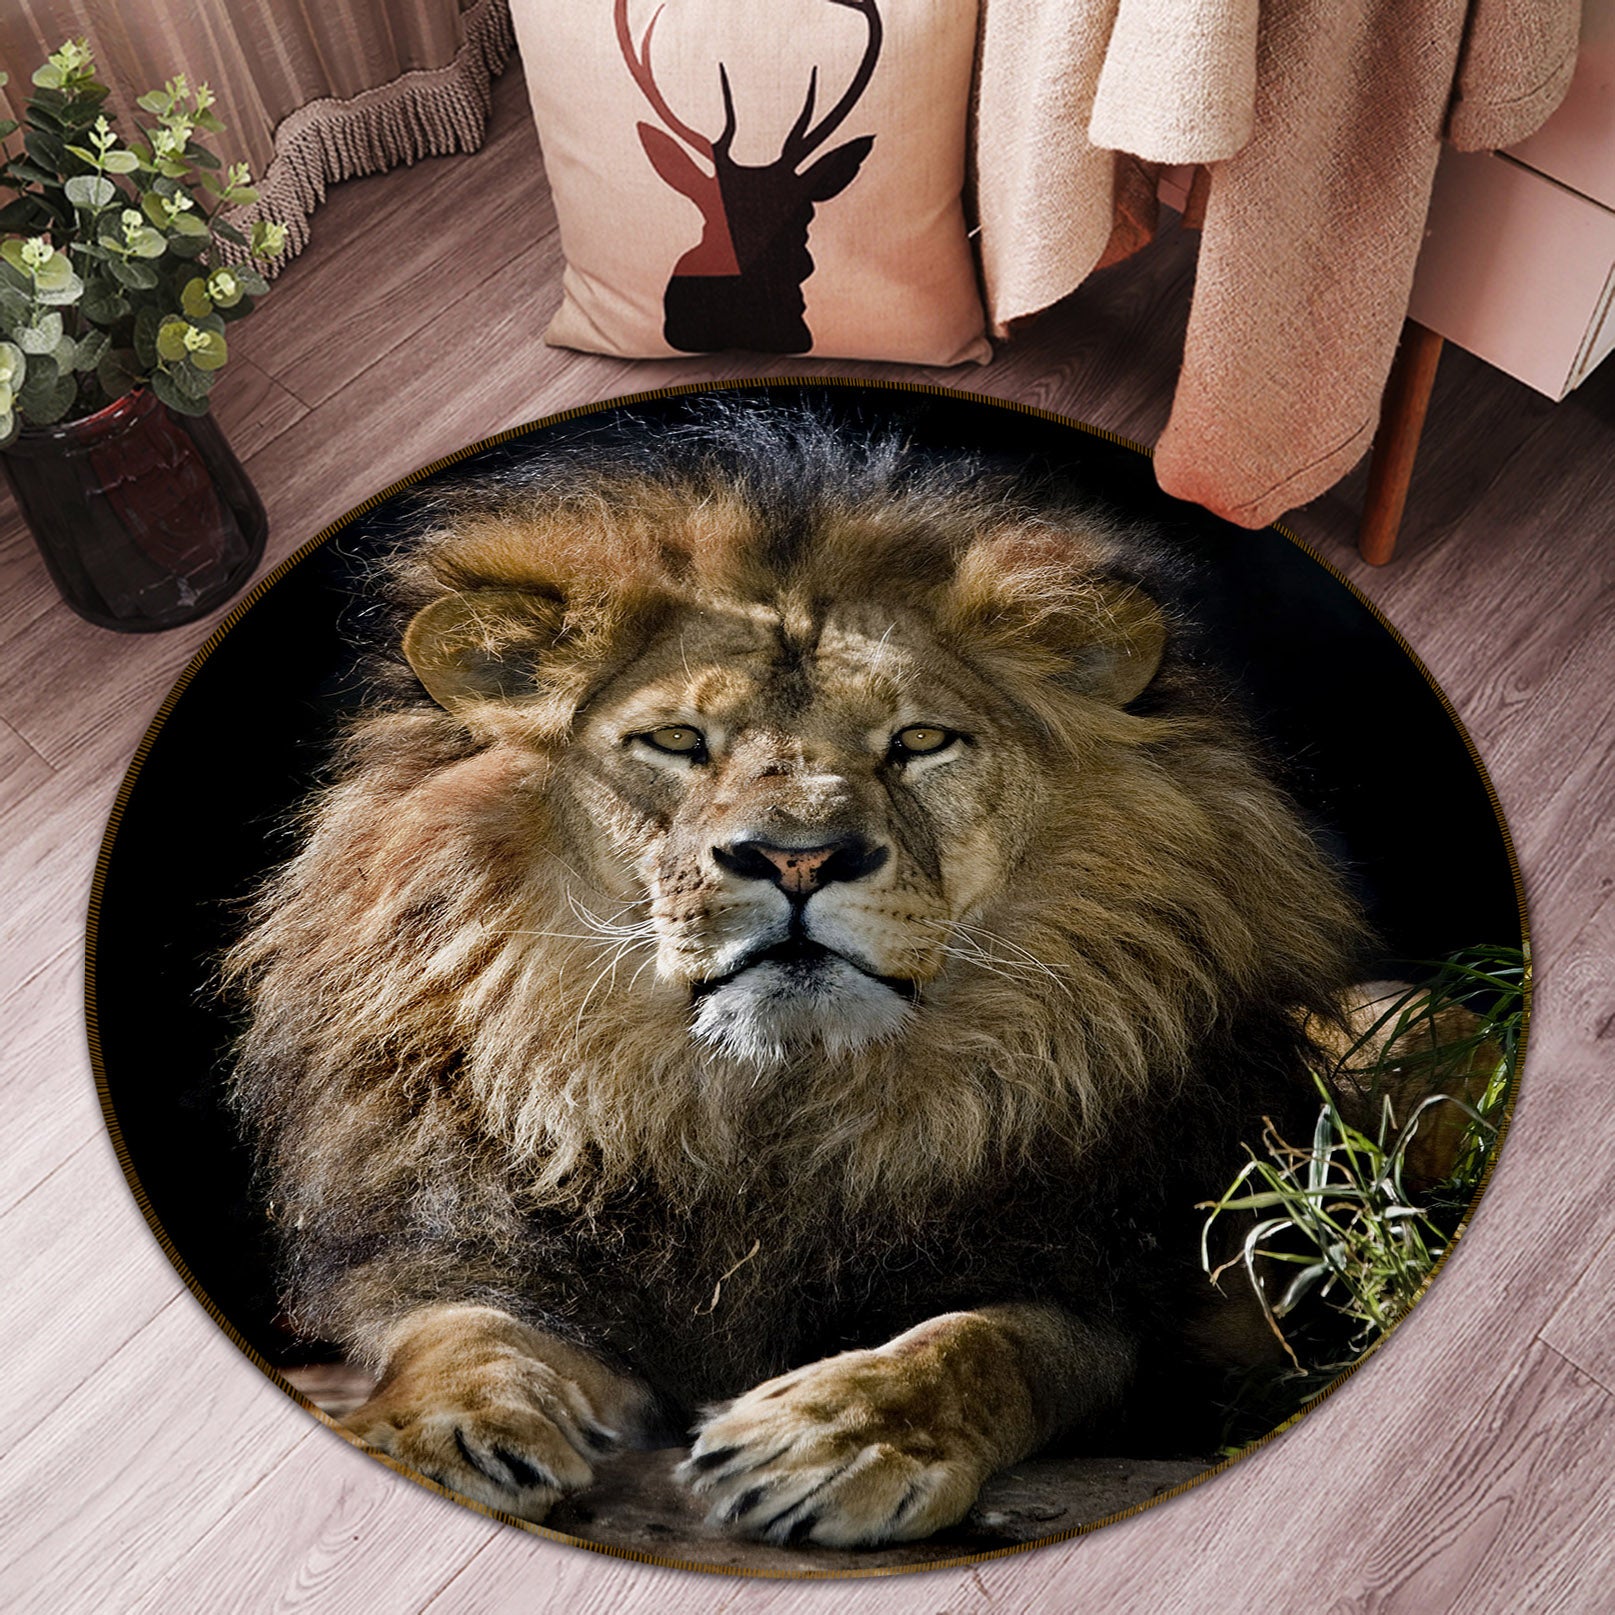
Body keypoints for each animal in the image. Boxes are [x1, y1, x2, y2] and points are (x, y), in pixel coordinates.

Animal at [226, 407, 1375, 1548]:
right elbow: (461, 1327)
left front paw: (835, 1436)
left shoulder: (1127, 1304)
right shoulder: (471, 1245)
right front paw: (445, 1426)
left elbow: (986, 1342)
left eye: (920, 740)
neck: (767, 1115)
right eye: (676, 740)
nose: (797, 858)